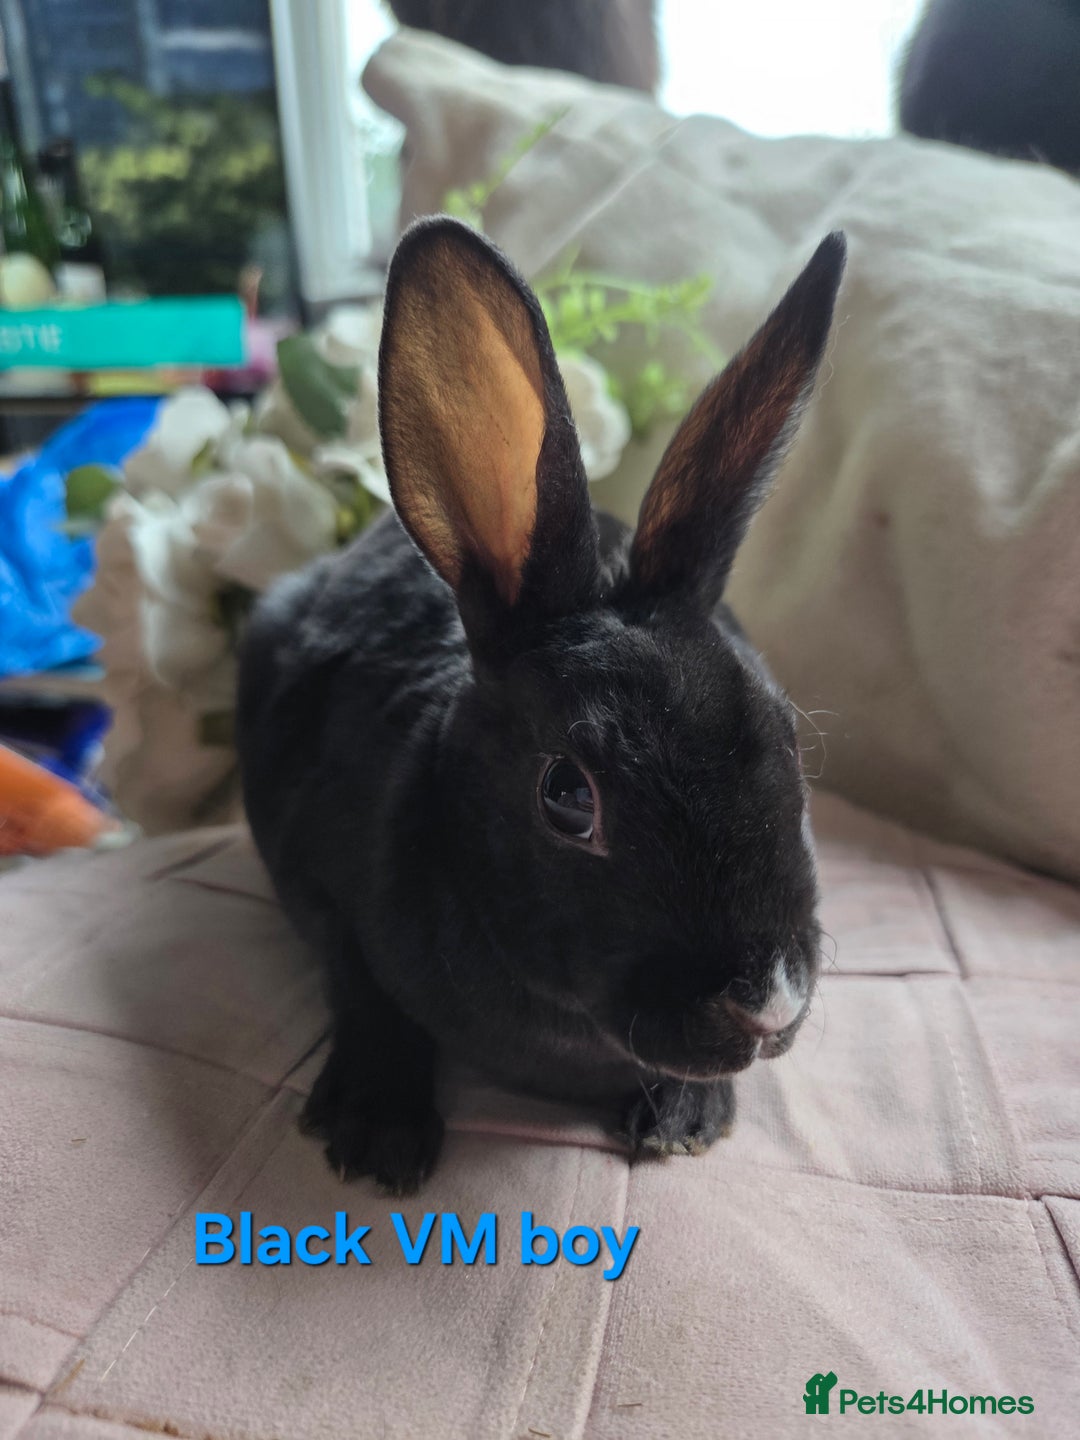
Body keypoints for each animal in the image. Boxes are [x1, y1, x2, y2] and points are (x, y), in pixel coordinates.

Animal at [237, 216, 846, 1194]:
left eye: (787, 740)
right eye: (567, 797)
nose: (767, 1006)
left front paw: (686, 1121)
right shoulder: (324, 890)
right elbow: (362, 988)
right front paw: (375, 1137)